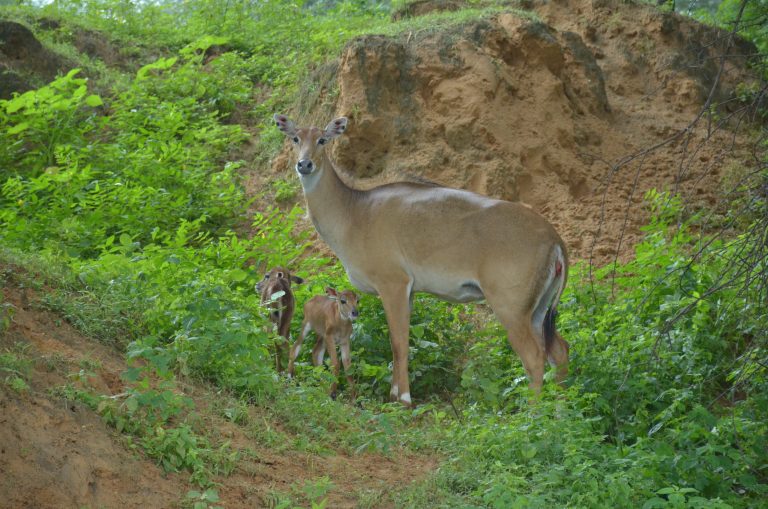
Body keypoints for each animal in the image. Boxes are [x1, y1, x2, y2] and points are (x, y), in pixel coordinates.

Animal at [276, 114, 568, 404]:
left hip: (510, 305)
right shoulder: (410, 290)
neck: (354, 213)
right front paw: (394, 394)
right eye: (295, 138)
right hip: (538, 308)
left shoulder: (393, 282)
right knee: (559, 350)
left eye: (323, 139)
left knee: (534, 357)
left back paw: (533, 409)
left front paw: (404, 398)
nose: (304, 164)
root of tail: (555, 241)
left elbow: (399, 342)